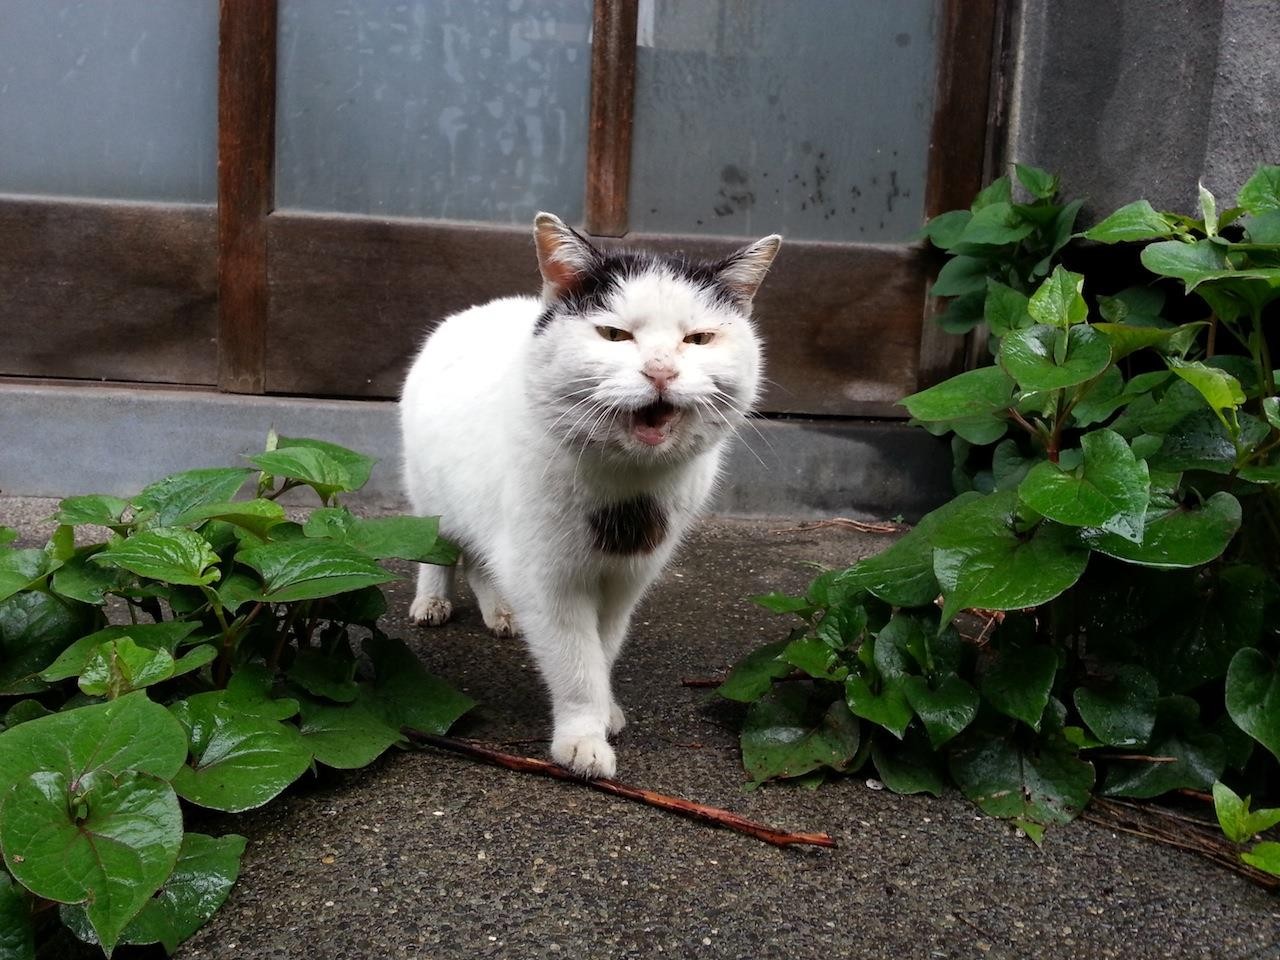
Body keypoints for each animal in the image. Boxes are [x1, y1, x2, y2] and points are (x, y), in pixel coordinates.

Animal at [399, 213, 778, 778]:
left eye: (699, 338)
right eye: (614, 334)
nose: (661, 370)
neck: (628, 488)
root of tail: (479, 308)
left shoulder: (628, 577)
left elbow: (604, 646)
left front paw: (606, 711)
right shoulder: (547, 578)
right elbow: (575, 661)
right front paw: (583, 737)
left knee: (481, 562)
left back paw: (501, 612)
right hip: (430, 496)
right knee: (439, 551)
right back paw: (431, 603)